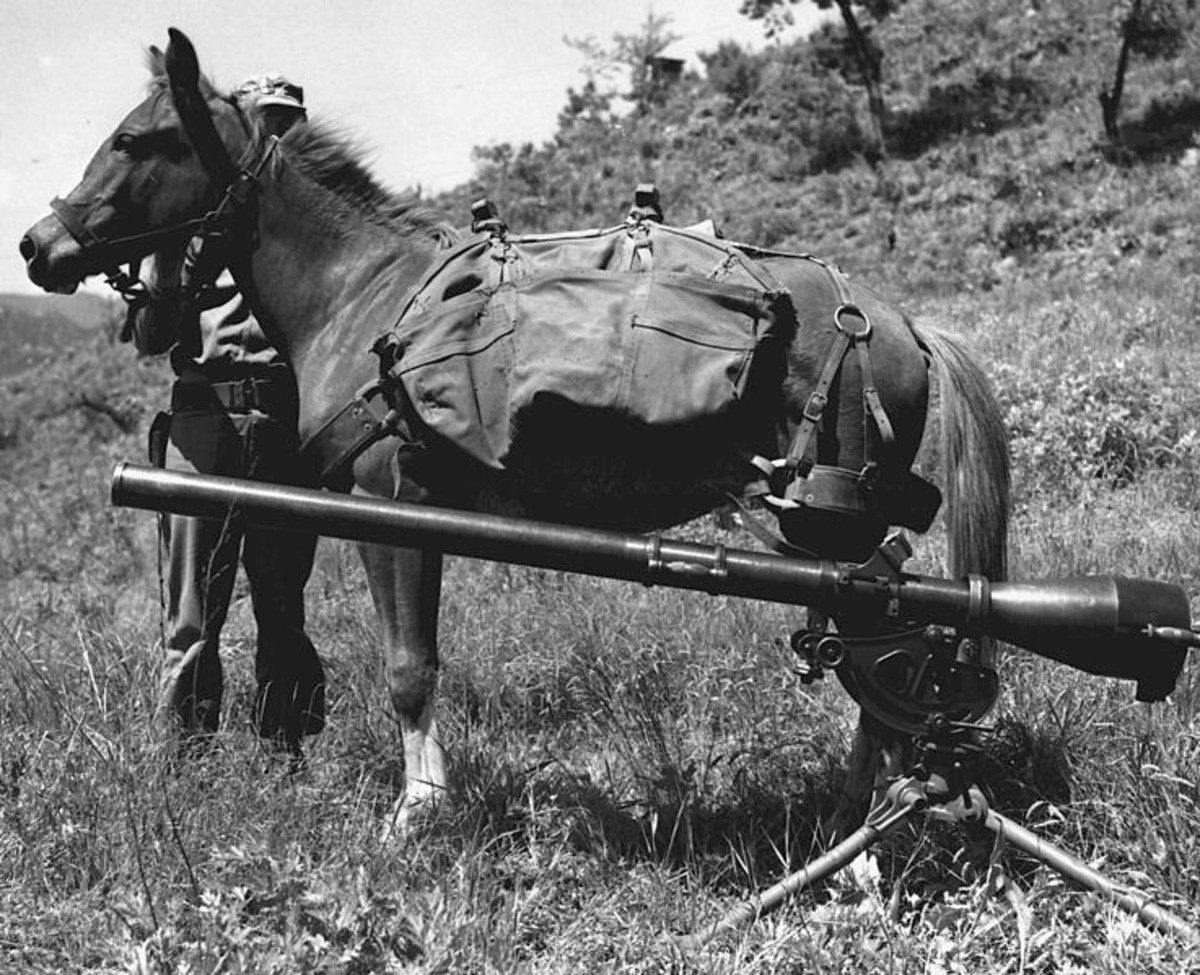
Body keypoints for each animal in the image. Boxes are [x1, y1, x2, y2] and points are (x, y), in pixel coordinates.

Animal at [19, 29, 1009, 833]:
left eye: (136, 140)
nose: (37, 246)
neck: (362, 292)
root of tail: (898, 322)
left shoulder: (393, 508)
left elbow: (408, 665)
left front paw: (419, 813)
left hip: (829, 529)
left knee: (884, 670)